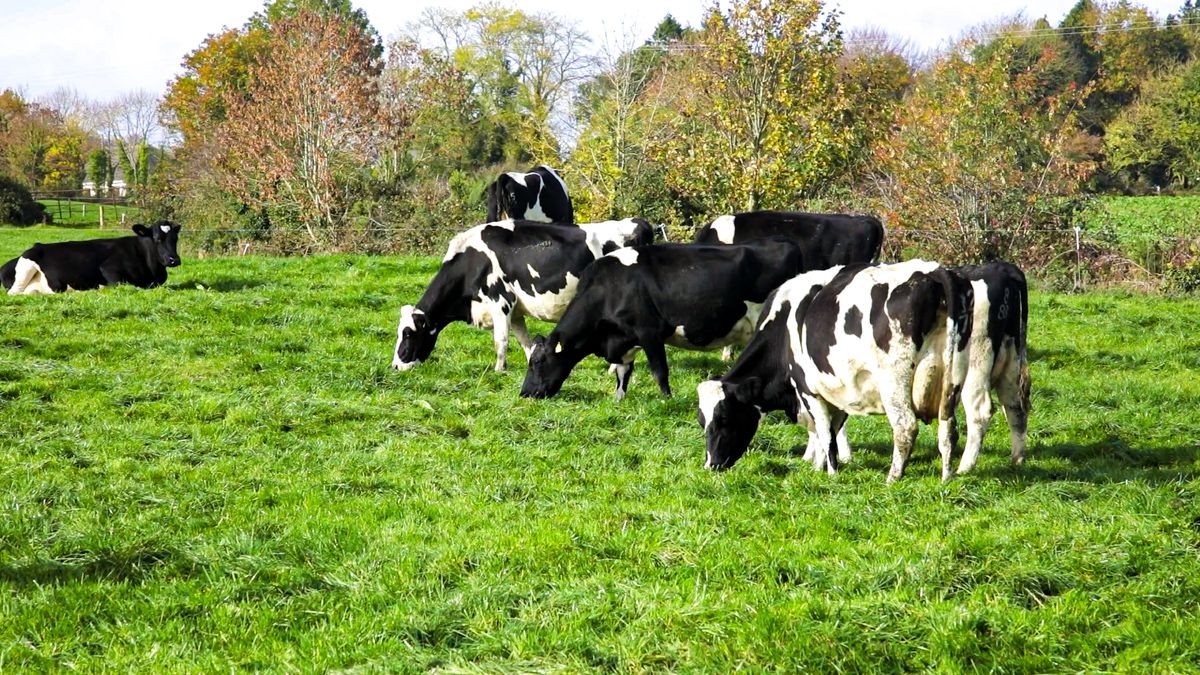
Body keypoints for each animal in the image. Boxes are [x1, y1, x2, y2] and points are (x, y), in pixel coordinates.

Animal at [3, 222, 182, 295]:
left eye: (175, 238)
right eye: (157, 238)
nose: (174, 260)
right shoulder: (109, 268)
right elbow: (121, 284)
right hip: (26, 269)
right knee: (15, 292)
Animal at [392, 218, 653, 372]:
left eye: (408, 334)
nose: (395, 366)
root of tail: (635, 222)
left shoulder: (500, 301)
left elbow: (501, 341)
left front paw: (499, 371)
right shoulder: (515, 310)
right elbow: (524, 342)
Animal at [519, 239, 806, 401]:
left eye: (537, 362)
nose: (524, 394)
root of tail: (788, 246)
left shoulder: (650, 332)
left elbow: (659, 371)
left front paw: (667, 401)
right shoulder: (623, 338)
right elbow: (623, 371)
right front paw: (619, 399)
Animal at [698, 260, 975, 482]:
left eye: (724, 418)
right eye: (702, 422)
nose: (711, 465)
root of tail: (934, 271)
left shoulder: (807, 389)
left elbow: (824, 431)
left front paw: (831, 473)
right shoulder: (835, 391)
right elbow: (830, 429)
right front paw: (818, 466)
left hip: (894, 381)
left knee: (905, 426)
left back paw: (892, 478)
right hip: (954, 378)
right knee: (949, 428)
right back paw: (947, 478)